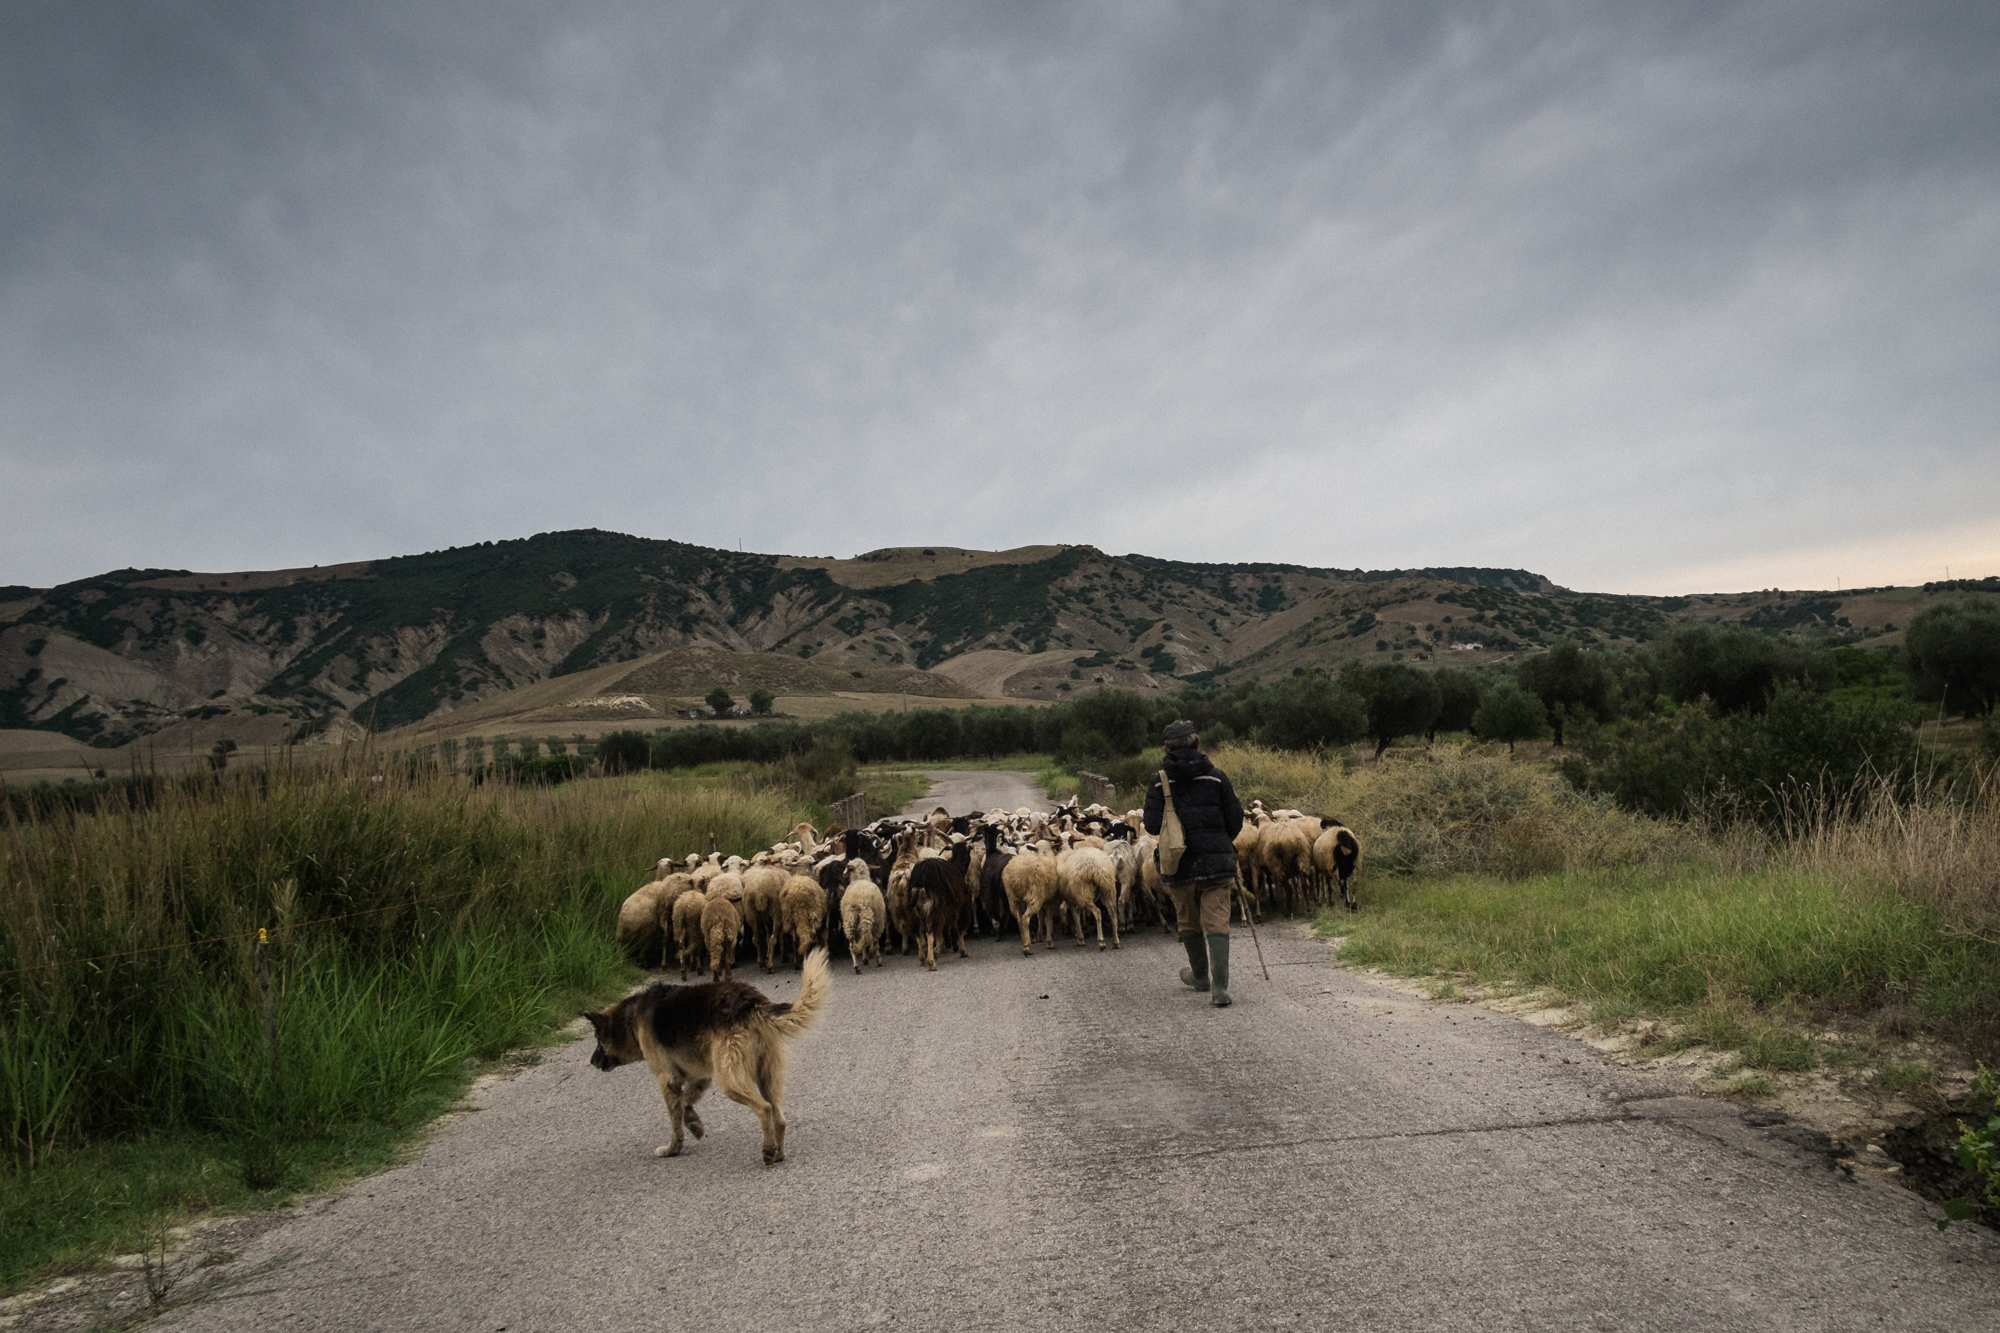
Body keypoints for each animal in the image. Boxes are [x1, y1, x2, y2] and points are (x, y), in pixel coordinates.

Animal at [580, 944, 828, 1160]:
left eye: (598, 1041)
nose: (592, 1062)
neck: (630, 1020)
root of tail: (751, 1003)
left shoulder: (667, 1080)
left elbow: (675, 1119)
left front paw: (672, 1149)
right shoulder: (699, 1077)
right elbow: (685, 1103)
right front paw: (695, 1125)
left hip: (730, 1080)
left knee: (765, 1108)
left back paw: (768, 1151)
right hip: (767, 1074)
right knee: (779, 1116)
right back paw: (778, 1153)